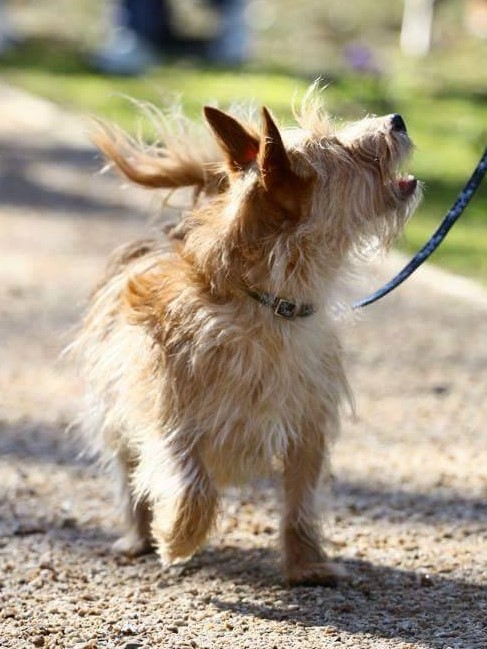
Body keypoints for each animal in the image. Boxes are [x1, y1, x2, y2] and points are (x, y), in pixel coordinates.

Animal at [74, 92, 422, 588]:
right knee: (129, 470)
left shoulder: (307, 425)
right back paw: (138, 535)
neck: (268, 305)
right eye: (343, 146)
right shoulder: (170, 417)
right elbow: (193, 484)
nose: (397, 119)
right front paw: (177, 537)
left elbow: (301, 500)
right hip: (115, 412)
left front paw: (306, 563)